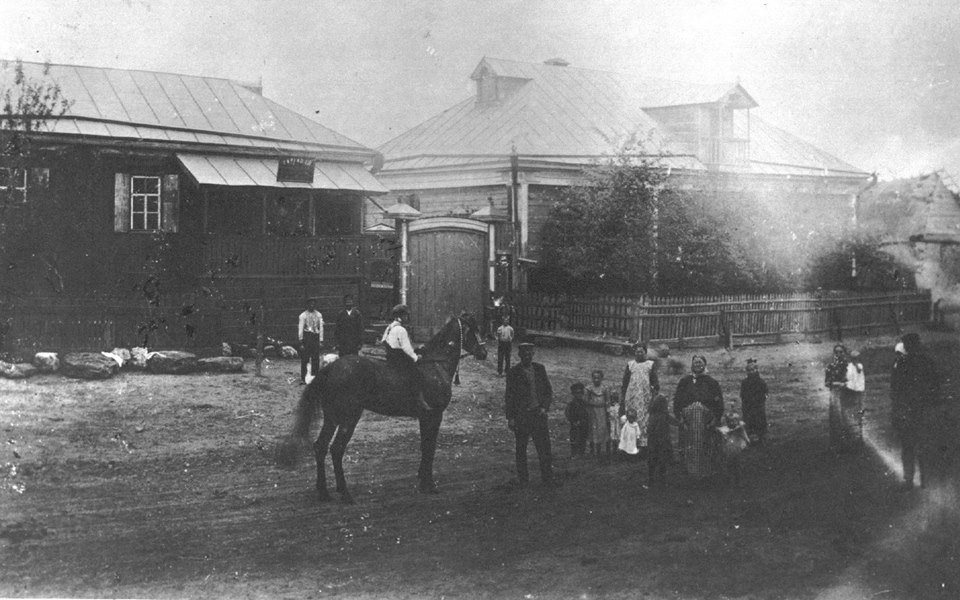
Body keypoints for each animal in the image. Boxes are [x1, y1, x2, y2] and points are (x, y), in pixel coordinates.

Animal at [278, 312, 488, 504]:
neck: (436, 366)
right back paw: (345, 493)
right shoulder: (435, 416)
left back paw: (324, 492)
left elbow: (424, 446)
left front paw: (422, 479)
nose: (484, 353)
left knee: (320, 447)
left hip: (332, 418)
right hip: (349, 418)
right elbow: (430, 448)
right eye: (474, 329)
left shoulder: (424, 417)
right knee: (336, 449)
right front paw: (429, 485)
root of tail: (331, 368)